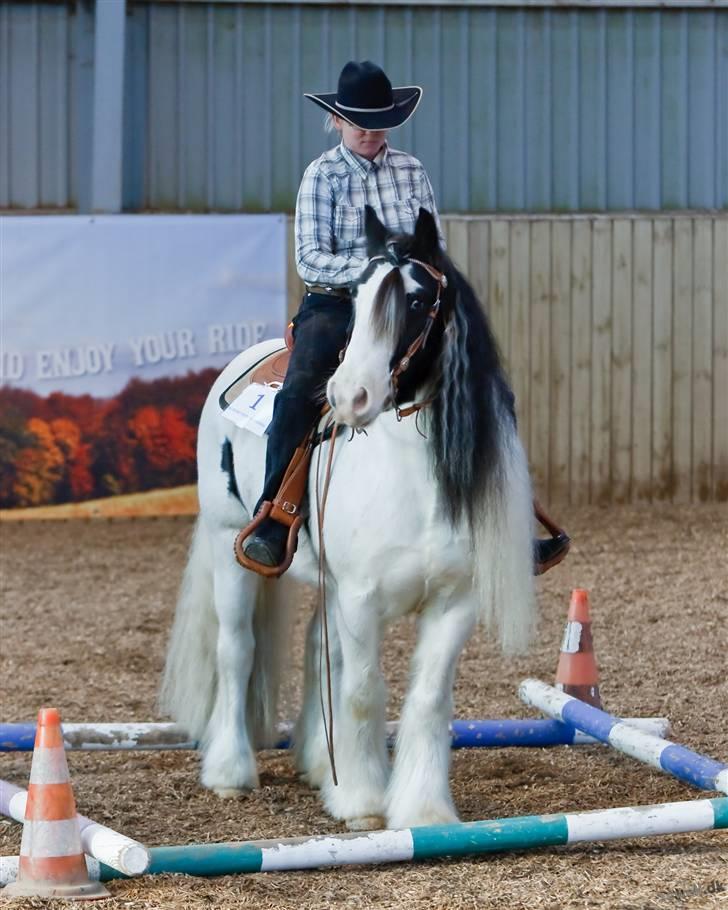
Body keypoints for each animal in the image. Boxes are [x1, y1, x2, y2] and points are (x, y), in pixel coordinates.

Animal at [162, 207, 536, 832]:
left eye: (417, 301)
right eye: (357, 297)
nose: (349, 396)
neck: (412, 476)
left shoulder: (453, 602)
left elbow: (427, 699)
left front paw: (423, 809)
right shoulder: (362, 596)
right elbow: (361, 690)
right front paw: (361, 801)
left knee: (320, 650)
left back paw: (319, 762)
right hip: (228, 546)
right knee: (236, 651)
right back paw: (231, 771)